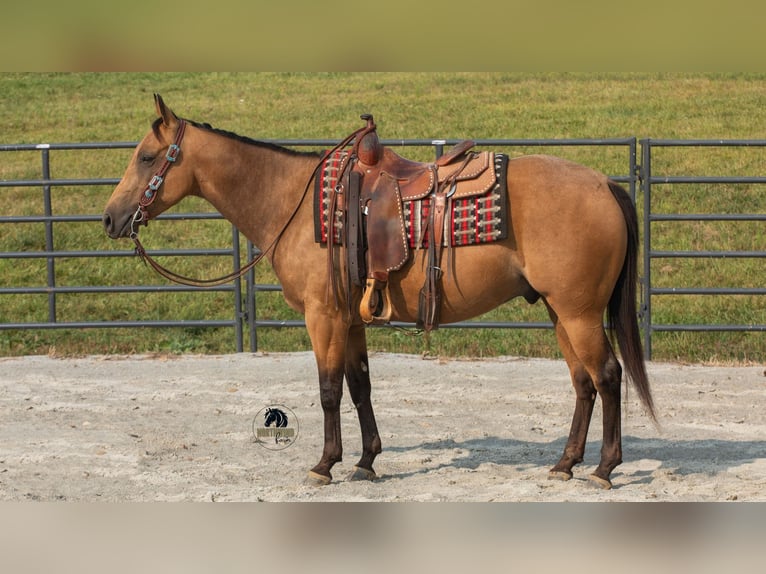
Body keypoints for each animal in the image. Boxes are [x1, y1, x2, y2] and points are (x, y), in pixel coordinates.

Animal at [103, 94, 655, 490]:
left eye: (147, 157)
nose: (109, 218)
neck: (295, 201)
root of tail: (605, 184)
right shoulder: (350, 320)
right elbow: (360, 386)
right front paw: (366, 461)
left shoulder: (323, 317)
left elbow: (328, 390)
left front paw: (324, 464)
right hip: (562, 314)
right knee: (583, 383)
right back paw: (565, 463)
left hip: (579, 314)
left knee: (607, 376)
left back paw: (603, 469)